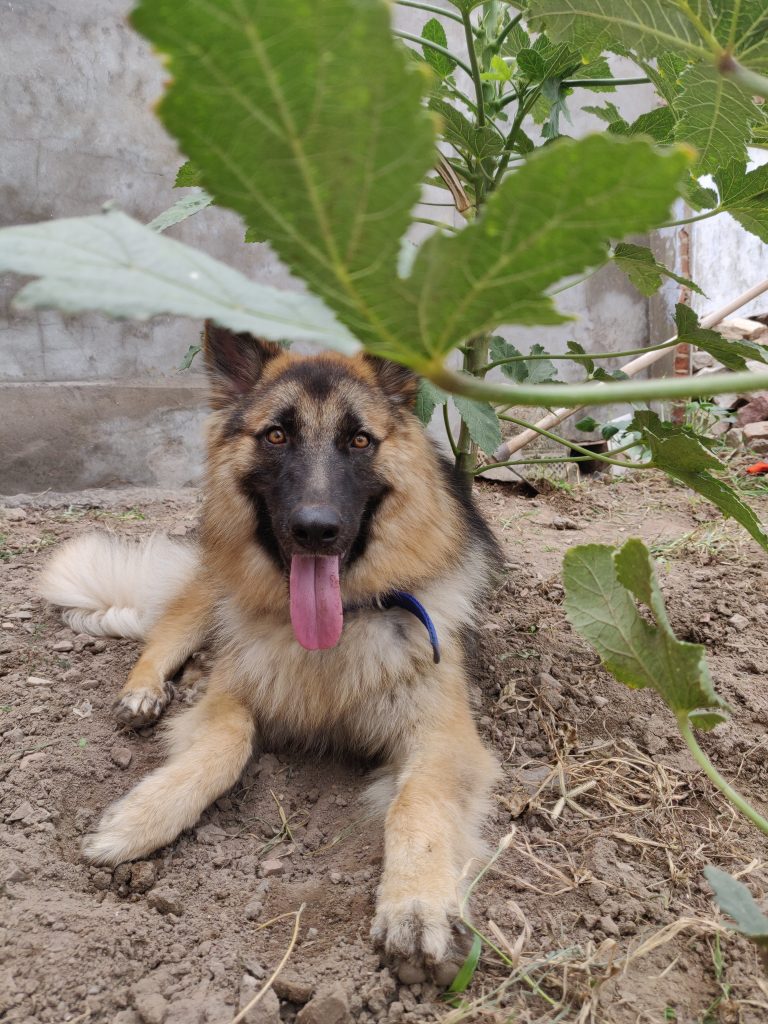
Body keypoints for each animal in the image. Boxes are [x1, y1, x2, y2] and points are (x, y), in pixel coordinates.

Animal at [40, 327, 499, 983]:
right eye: (276, 435)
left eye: (360, 440)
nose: (316, 530)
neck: (336, 632)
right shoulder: (232, 697)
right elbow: (226, 743)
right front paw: (138, 821)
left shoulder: (443, 738)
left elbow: (418, 802)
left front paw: (416, 905)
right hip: (209, 595)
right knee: (163, 641)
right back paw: (146, 692)